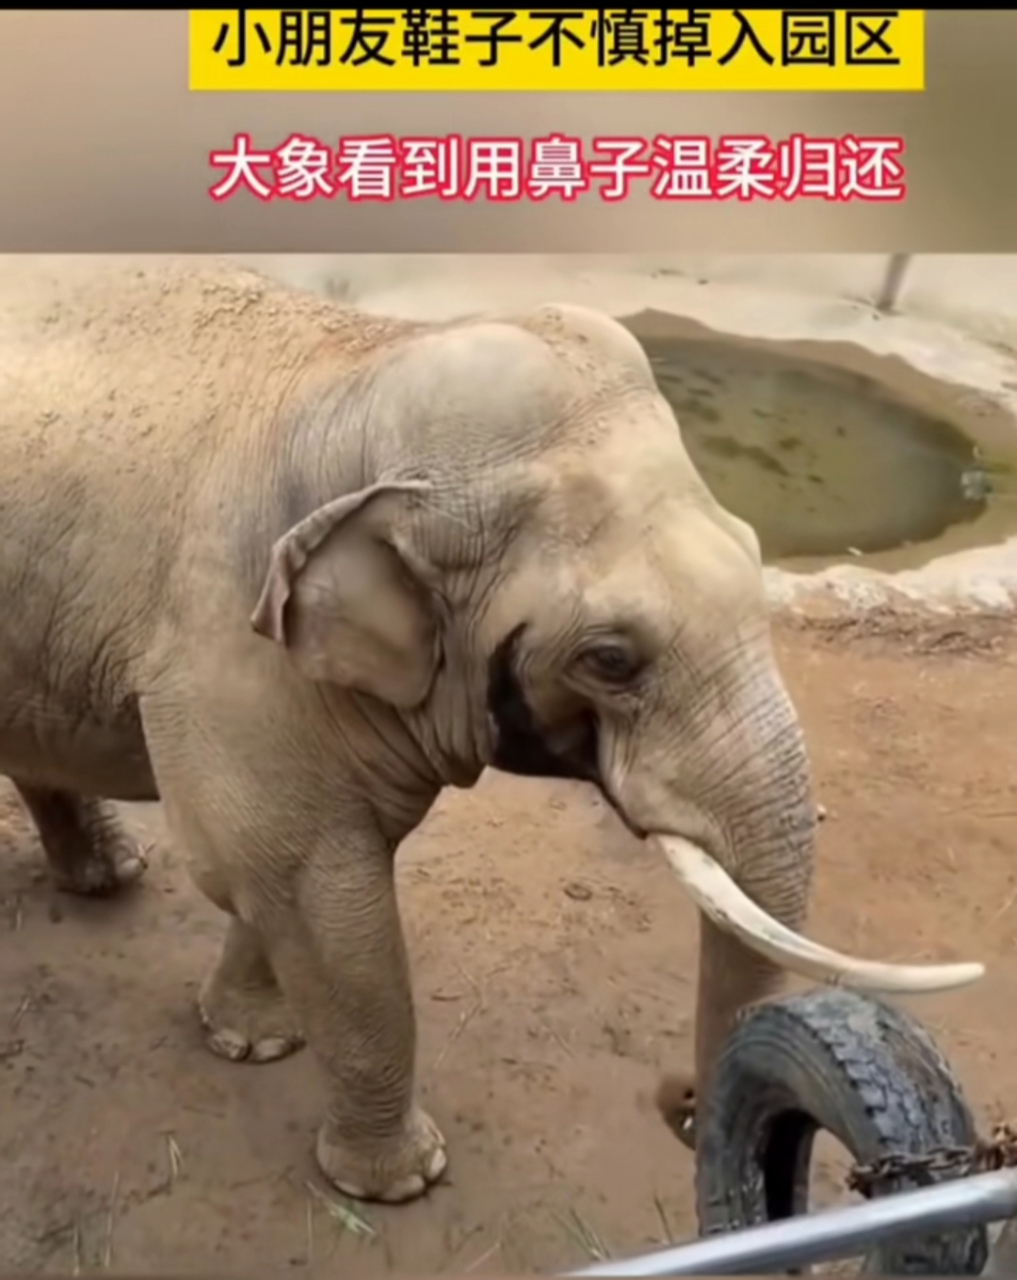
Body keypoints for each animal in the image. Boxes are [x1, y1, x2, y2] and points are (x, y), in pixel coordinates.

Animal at [0, 256, 982, 1204]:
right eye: (611, 659)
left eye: (754, 553)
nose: (680, 1102)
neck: (357, 372)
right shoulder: (227, 644)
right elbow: (305, 882)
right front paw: (399, 1182)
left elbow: (273, 879)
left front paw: (252, 1040)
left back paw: (110, 875)